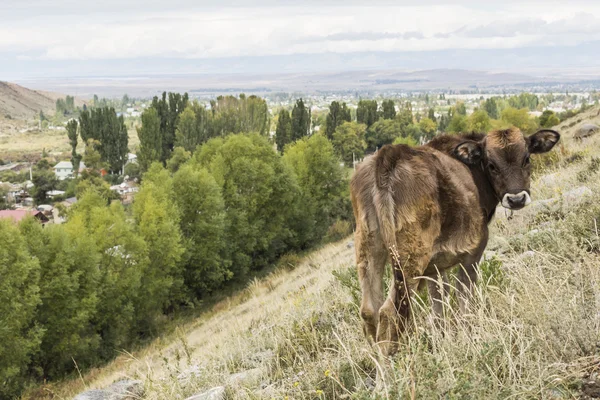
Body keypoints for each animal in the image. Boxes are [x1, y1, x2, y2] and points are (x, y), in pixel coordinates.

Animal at [350, 126, 560, 354]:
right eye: (491, 165)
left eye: (526, 158)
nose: (516, 199)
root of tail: (389, 154)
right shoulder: (472, 252)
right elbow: (464, 297)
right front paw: (470, 337)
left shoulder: (434, 266)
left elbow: (439, 304)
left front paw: (443, 341)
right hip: (411, 257)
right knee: (389, 312)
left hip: (368, 247)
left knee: (369, 310)